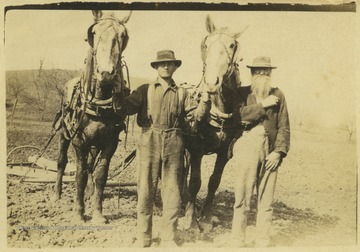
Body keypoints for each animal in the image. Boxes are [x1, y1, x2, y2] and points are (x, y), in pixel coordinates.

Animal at [53, 9, 132, 223]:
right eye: (94, 33)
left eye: (123, 35)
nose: (105, 73)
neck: (98, 102)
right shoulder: (79, 141)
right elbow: (79, 174)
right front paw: (79, 213)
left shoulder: (109, 143)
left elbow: (100, 175)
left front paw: (97, 213)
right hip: (64, 133)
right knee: (62, 161)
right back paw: (57, 194)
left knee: (91, 164)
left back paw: (89, 192)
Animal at [183, 15, 248, 228]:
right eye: (206, 44)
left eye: (232, 45)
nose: (212, 83)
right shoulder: (195, 149)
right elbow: (195, 182)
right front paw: (190, 220)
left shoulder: (224, 152)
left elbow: (214, 181)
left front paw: (206, 216)